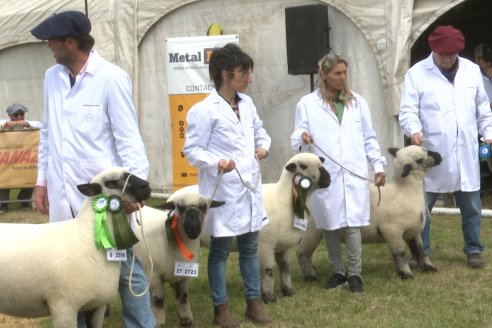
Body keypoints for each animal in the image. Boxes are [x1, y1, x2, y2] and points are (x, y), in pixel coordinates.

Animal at [135, 193, 226, 326]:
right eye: (180, 207)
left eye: (204, 207)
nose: (193, 229)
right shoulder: (154, 276)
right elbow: (158, 302)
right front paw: (159, 324)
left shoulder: (185, 276)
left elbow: (183, 298)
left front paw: (186, 321)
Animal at [174, 152, 330, 304]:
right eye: (303, 166)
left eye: (321, 162)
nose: (328, 179)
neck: (284, 199)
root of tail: (173, 196)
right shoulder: (265, 245)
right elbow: (268, 271)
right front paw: (269, 298)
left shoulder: (283, 246)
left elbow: (285, 268)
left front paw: (288, 291)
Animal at [296, 145, 442, 280]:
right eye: (420, 159)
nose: (439, 156)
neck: (405, 191)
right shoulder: (392, 230)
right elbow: (399, 253)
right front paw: (405, 274)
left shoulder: (413, 231)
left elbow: (419, 250)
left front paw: (429, 267)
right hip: (311, 231)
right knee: (302, 253)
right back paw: (310, 276)